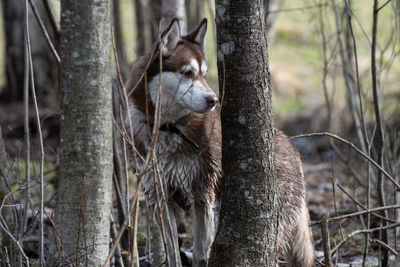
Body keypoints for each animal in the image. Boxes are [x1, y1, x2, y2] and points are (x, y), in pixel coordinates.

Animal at [126, 18, 314, 267]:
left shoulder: (202, 195)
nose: (213, 100)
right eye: (188, 73)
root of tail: (293, 148)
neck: (167, 128)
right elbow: (173, 253)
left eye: (204, 75)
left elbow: (200, 254)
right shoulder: (160, 197)